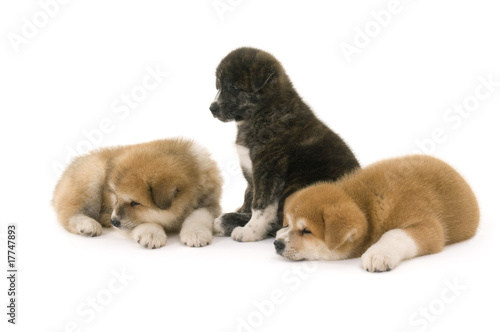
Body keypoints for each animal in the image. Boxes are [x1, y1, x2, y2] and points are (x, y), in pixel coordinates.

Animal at [52, 138, 221, 249]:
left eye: (135, 203)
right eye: (115, 197)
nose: (114, 222)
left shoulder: (210, 204)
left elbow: (198, 215)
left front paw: (196, 233)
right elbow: (144, 222)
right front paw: (151, 234)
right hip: (92, 176)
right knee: (69, 213)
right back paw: (88, 224)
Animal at [210, 46, 360, 241]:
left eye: (234, 88)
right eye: (219, 86)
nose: (212, 108)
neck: (263, 111)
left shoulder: (268, 168)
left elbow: (261, 205)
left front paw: (250, 230)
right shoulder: (252, 172)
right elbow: (249, 196)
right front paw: (242, 214)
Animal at [274, 156, 480, 272]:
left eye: (306, 231)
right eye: (287, 223)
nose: (277, 244)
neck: (365, 206)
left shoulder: (428, 226)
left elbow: (395, 234)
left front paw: (378, 254)